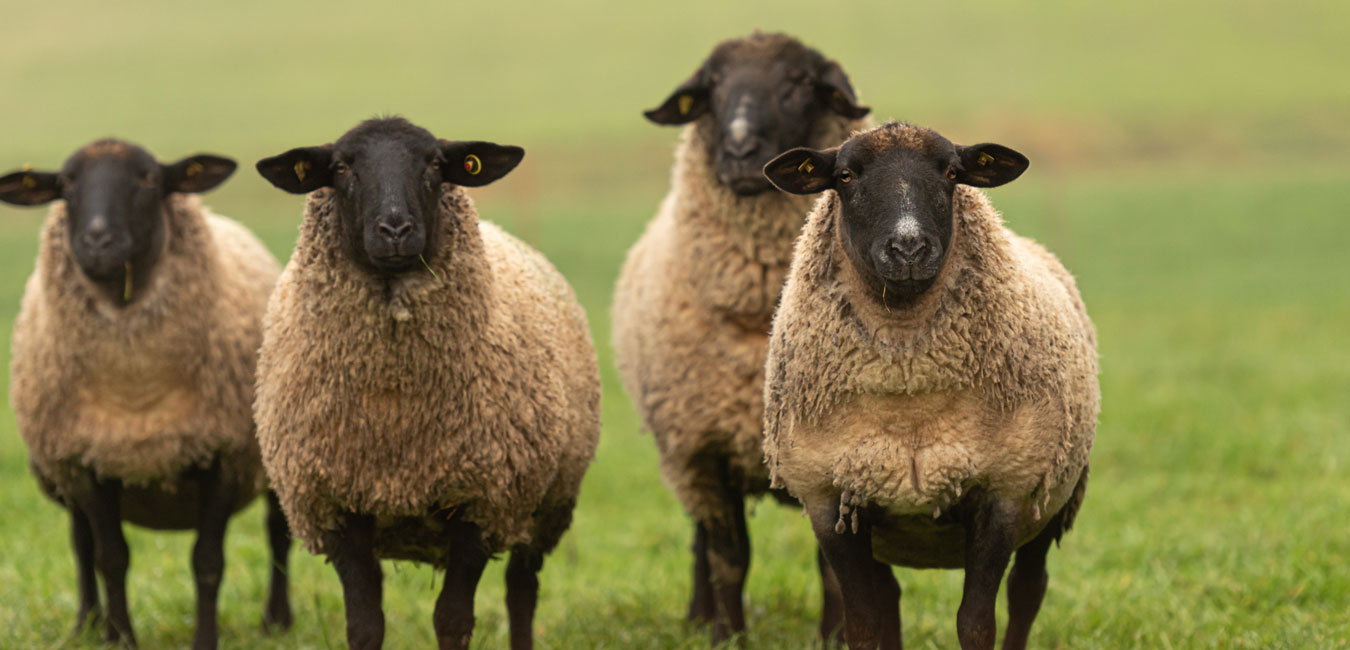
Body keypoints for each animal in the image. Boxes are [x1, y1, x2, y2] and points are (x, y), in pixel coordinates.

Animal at [0, 140, 294, 648]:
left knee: (278, 531)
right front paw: (119, 637)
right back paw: (85, 624)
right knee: (81, 544)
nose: (98, 241)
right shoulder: (84, 460)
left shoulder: (224, 455)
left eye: (149, 180)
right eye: (67, 185)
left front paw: (205, 639)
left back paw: (276, 621)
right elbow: (109, 557)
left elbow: (207, 561)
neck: (136, 393)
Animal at [253, 116, 602, 648]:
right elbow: (364, 625)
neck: (396, 405)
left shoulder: (481, 500)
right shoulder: (335, 503)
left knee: (522, 590)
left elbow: (453, 620)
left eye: (436, 165)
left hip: (544, 503)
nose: (395, 229)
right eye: (340, 167)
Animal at [615, 31, 874, 643]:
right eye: (711, 87)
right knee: (701, 544)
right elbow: (729, 556)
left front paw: (834, 637)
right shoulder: (702, 451)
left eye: (800, 83)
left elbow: (834, 566)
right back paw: (697, 617)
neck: (761, 322)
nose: (738, 147)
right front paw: (726, 636)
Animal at [761, 118, 1096, 645]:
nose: (908, 248)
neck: (908, 396)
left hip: (1053, 498)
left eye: (953, 173)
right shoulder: (830, 500)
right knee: (889, 599)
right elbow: (864, 622)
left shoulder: (1003, 492)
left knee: (1028, 592)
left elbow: (977, 623)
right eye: (845, 176)